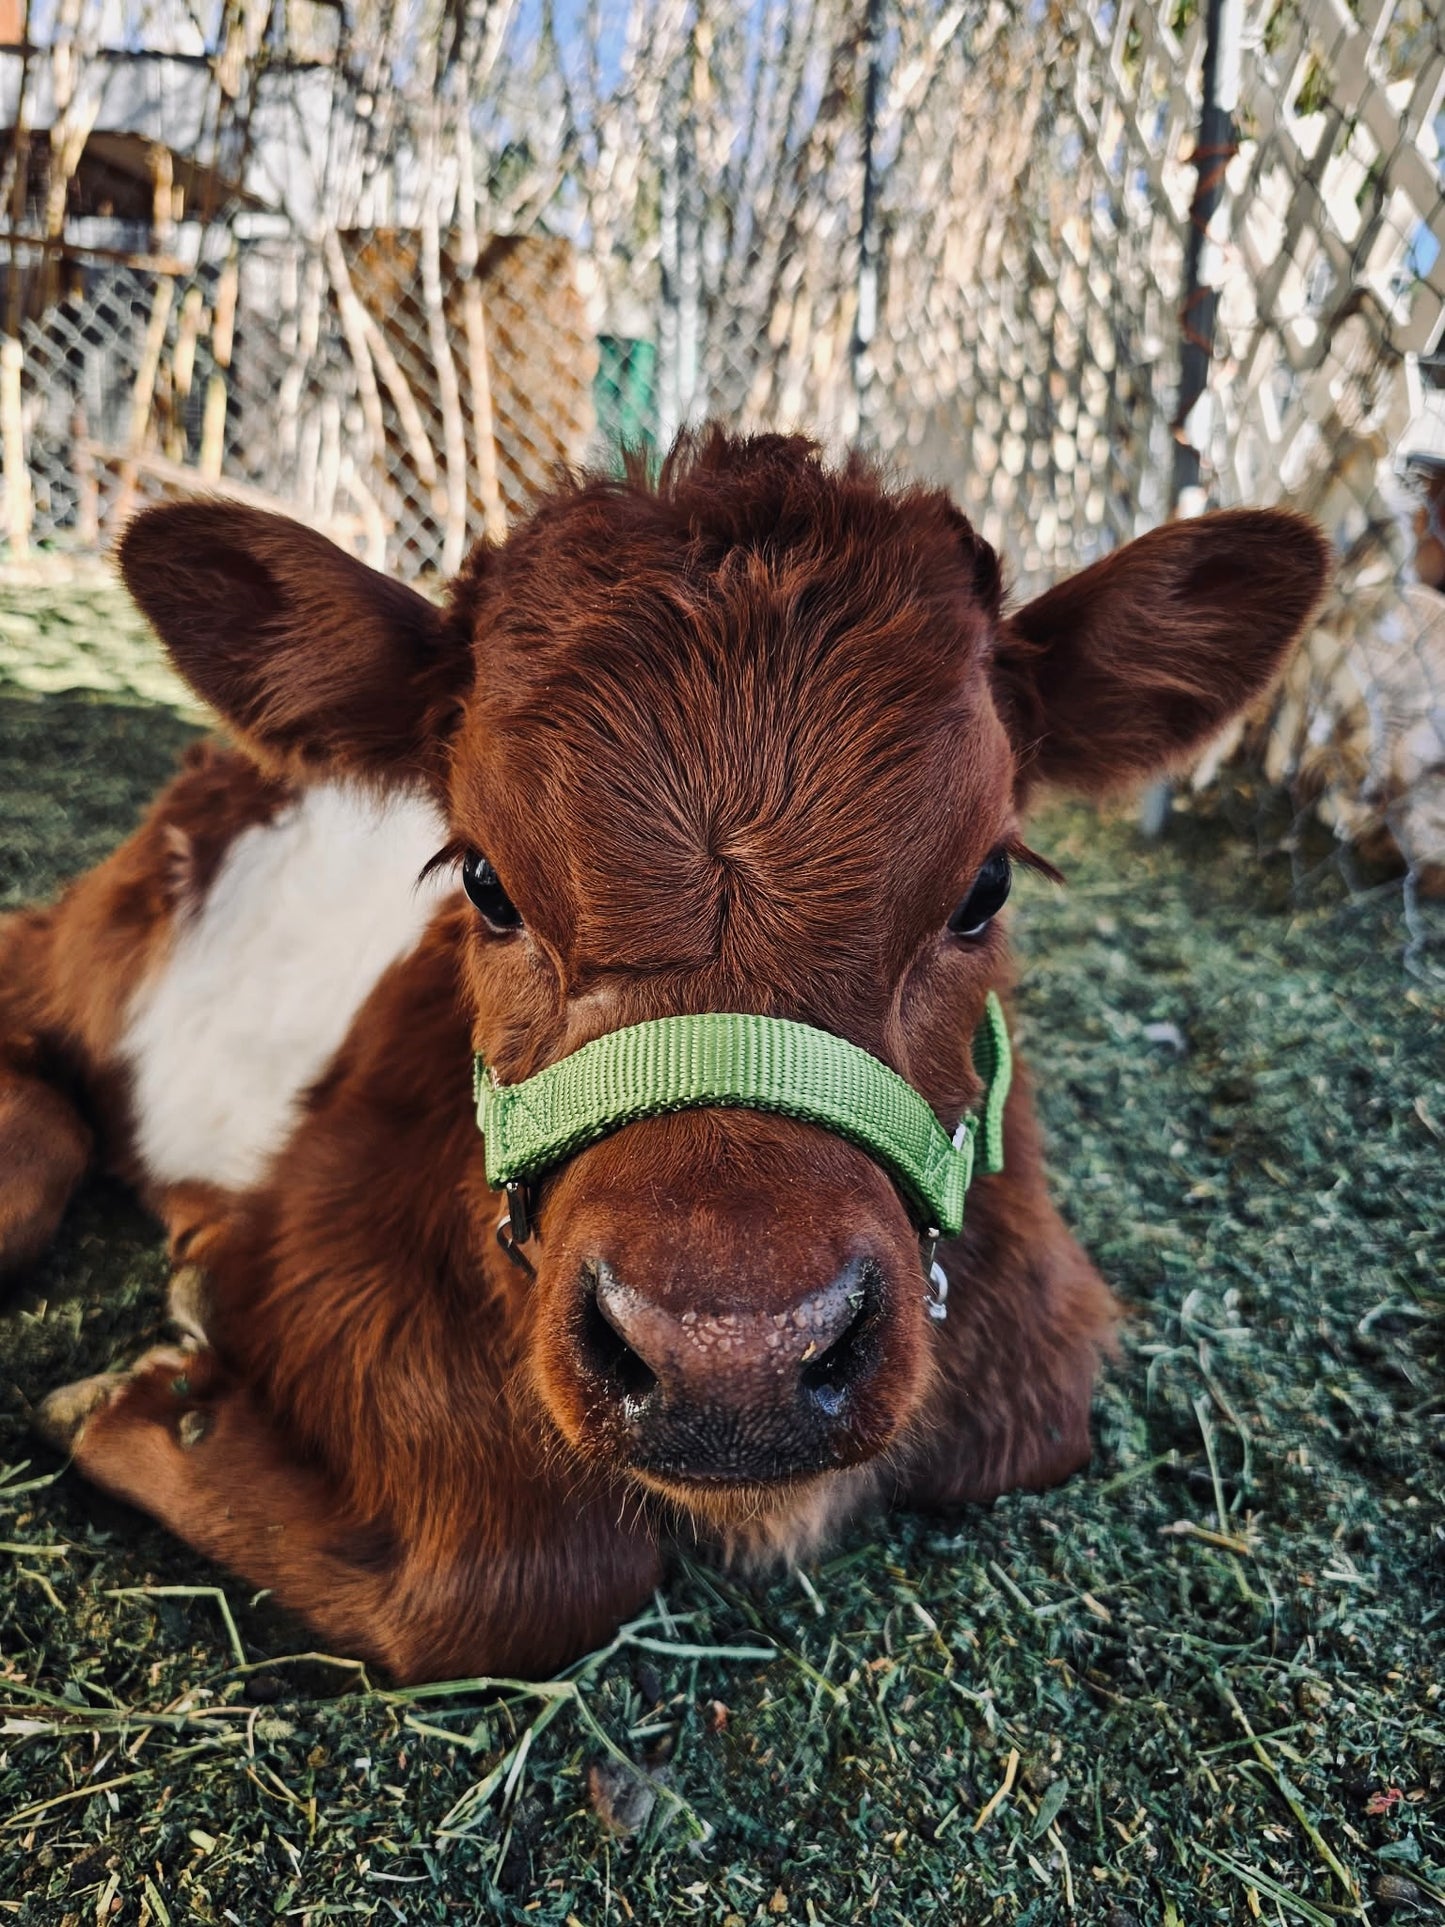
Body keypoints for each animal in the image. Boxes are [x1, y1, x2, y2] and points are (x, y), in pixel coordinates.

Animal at [0, 430, 1329, 1682]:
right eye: (484, 880)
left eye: (984, 886)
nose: (729, 1359)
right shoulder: (309, 1246)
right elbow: (522, 1574)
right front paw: (152, 1401)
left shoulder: (1036, 1355)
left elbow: (1032, 1433)